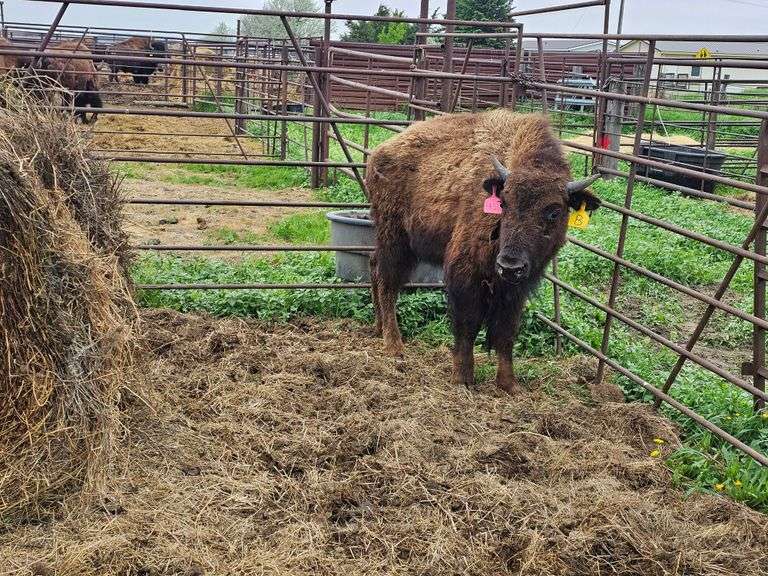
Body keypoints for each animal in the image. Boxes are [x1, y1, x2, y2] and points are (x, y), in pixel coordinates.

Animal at [366, 109, 602, 394]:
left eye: (554, 212)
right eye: (504, 203)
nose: (510, 265)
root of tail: (378, 153)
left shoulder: (515, 288)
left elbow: (505, 332)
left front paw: (509, 384)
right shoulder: (466, 274)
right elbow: (467, 325)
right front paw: (463, 378)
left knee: (374, 266)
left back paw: (378, 328)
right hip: (396, 240)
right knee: (387, 283)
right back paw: (394, 345)